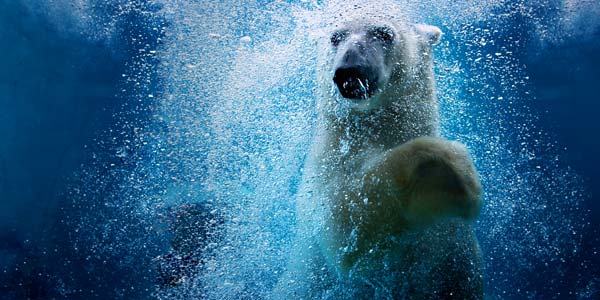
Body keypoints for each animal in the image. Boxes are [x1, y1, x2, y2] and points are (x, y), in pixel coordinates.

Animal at [274, 2, 486, 300]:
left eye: (384, 33)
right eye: (335, 37)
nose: (350, 69)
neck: (372, 128)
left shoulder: (454, 253)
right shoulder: (326, 165)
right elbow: (341, 227)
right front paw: (455, 174)